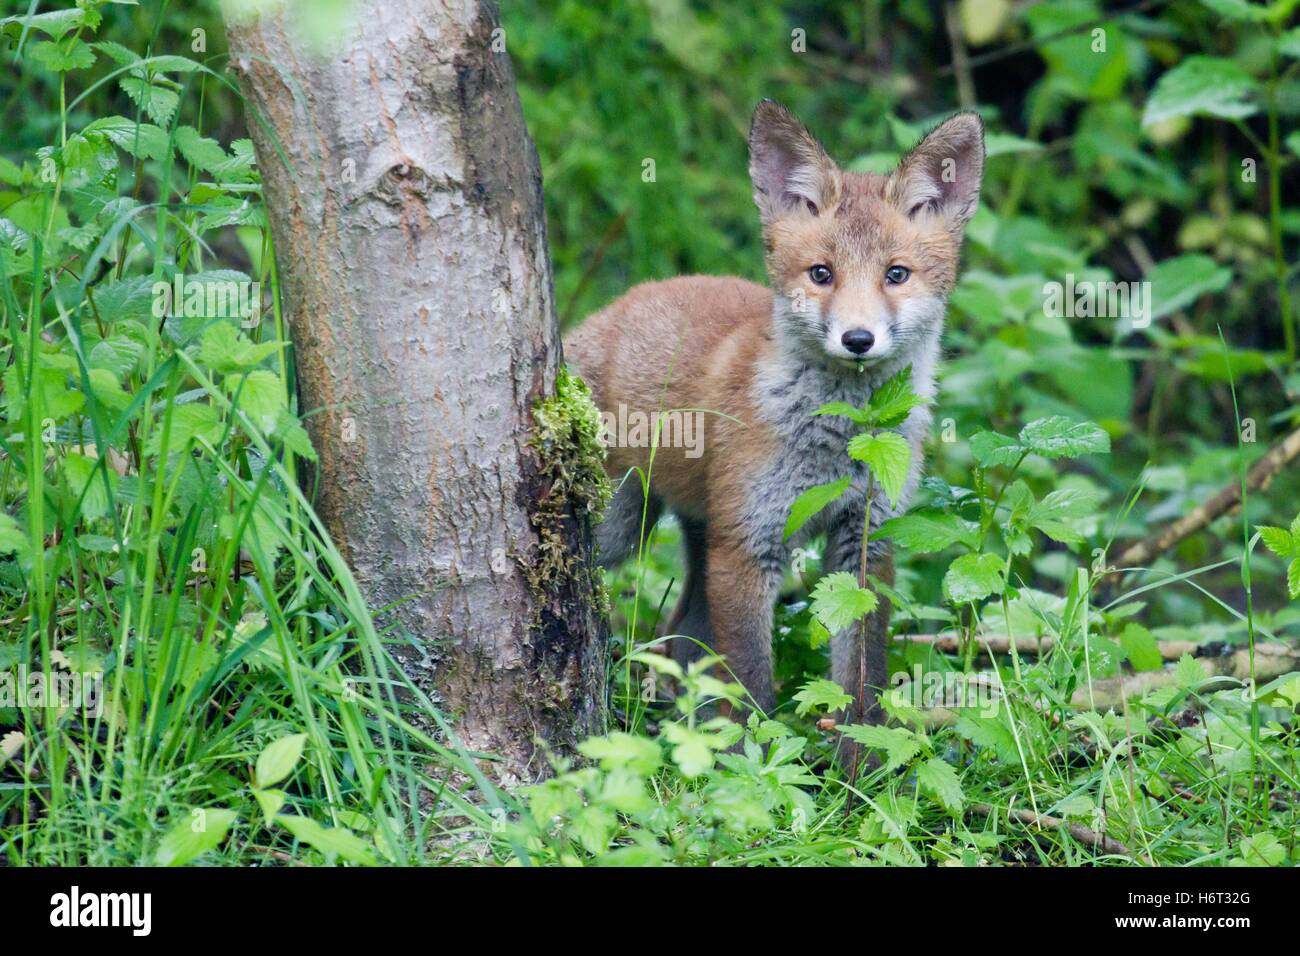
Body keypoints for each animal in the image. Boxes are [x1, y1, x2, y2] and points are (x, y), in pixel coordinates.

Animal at [564, 98, 977, 723]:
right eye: (821, 274)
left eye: (896, 275)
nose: (858, 339)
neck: (836, 443)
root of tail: (597, 318)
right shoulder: (746, 546)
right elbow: (753, 690)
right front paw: (755, 750)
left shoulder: (865, 545)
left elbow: (862, 683)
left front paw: (862, 753)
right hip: (621, 528)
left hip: (697, 533)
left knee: (682, 638)